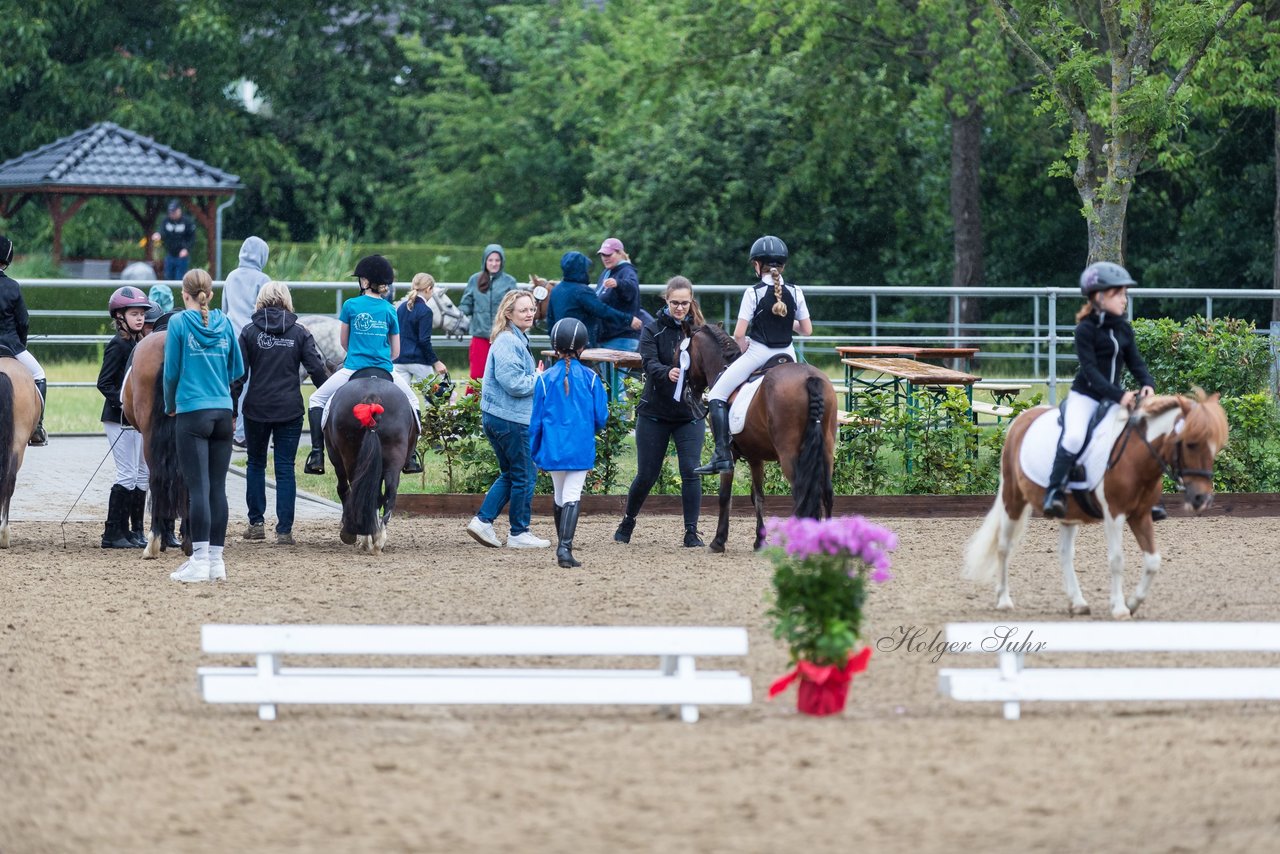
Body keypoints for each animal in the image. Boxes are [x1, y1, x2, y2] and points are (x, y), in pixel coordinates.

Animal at [322, 376, 417, 555]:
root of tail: (372, 396)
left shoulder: (337, 460)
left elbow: (343, 489)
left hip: (350, 460)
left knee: (356, 491)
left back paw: (364, 537)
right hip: (393, 459)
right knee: (389, 493)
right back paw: (378, 539)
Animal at [680, 323, 839, 550]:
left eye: (682, 354)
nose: (688, 396)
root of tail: (810, 377)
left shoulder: (730, 456)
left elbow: (725, 496)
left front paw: (718, 541)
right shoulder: (755, 457)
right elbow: (758, 496)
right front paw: (759, 540)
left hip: (790, 454)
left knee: (801, 493)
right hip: (826, 448)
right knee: (826, 493)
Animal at [962, 394, 1223, 622]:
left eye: (1214, 447)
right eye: (1190, 444)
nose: (1201, 498)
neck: (1135, 456)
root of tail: (1022, 418)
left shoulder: (1141, 515)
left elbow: (1153, 561)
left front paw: (1132, 603)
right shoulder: (1114, 514)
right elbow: (1117, 560)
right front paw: (1119, 608)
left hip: (1067, 513)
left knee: (1065, 553)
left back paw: (1078, 603)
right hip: (1013, 499)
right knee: (1004, 547)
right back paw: (1004, 601)